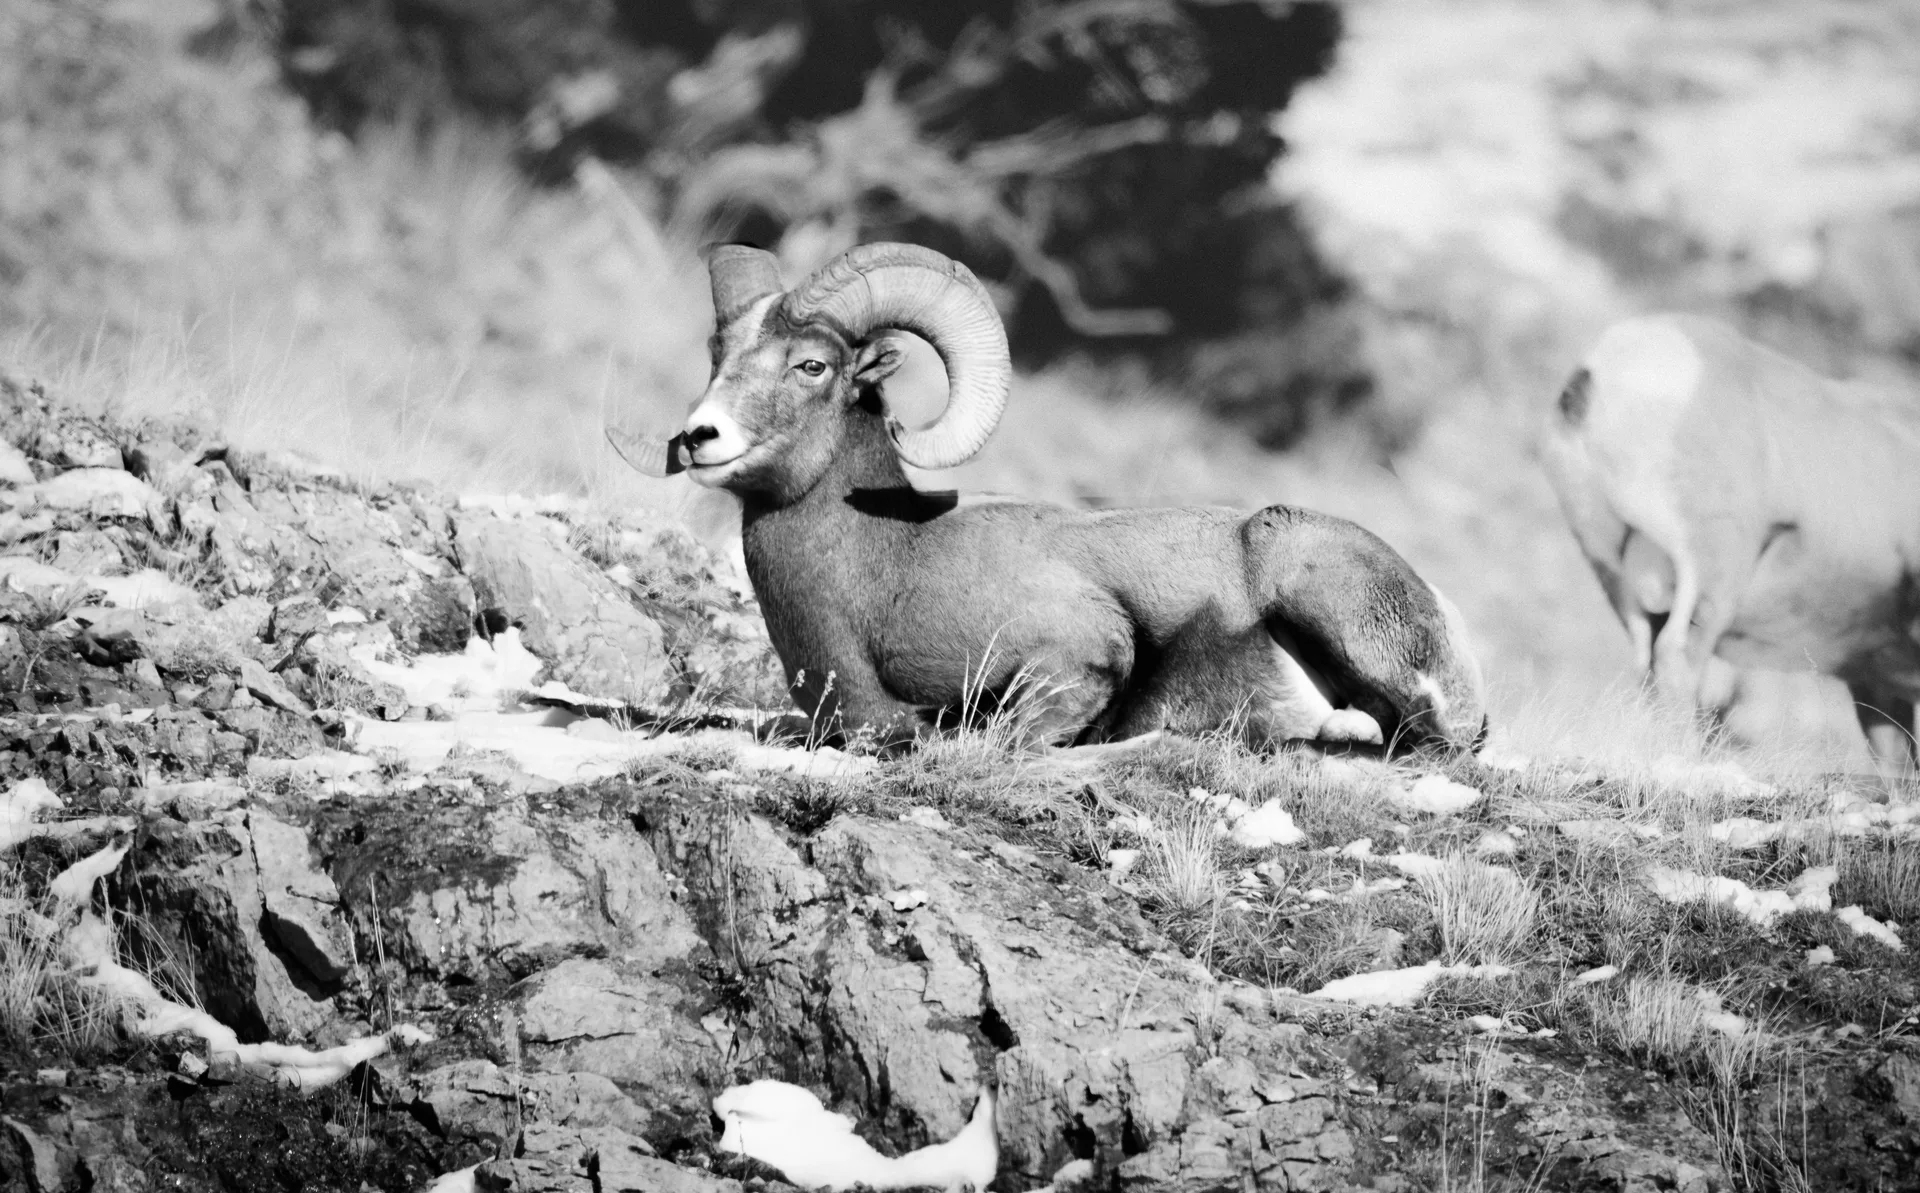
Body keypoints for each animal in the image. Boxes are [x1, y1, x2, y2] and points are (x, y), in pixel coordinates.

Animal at [609, 242, 1487, 755]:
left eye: (812, 365)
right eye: (719, 354)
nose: (700, 436)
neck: (886, 569)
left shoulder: (1075, 659)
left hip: (1310, 580)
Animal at [1541, 312, 1920, 770]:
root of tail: (1595, 380)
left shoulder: (1879, 687)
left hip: (1620, 579)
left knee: (1646, 666)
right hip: (1707, 575)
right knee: (1676, 657)